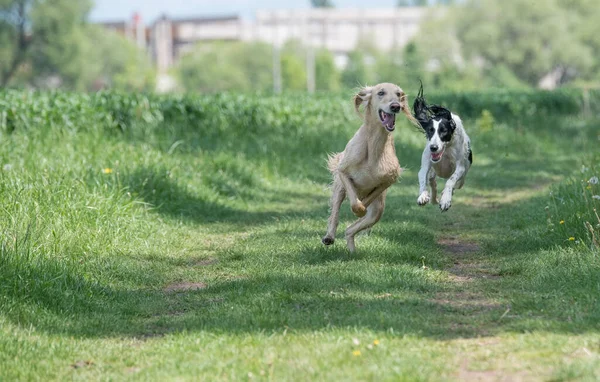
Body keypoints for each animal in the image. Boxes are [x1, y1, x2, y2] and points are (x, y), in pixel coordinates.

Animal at [324, 82, 418, 252]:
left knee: (350, 230)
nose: (396, 106)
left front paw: (361, 209)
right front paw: (358, 208)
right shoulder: (343, 170)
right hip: (339, 190)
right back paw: (329, 236)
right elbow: (354, 202)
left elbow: (366, 201)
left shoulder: (389, 179)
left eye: (398, 94)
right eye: (381, 93)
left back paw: (352, 252)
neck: (373, 146)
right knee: (335, 214)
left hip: (377, 211)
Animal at [412, 83, 474, 212]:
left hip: (463, 177)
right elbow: (422, 177)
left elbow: (451, 180)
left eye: (444, 131)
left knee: (456, 183)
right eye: (430, 130)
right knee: (432, 181)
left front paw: (445, 200)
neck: (446, 151)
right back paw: (433, 199)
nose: (434, 147)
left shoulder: (460, 167)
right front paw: (423, 196)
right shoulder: (426, 163)